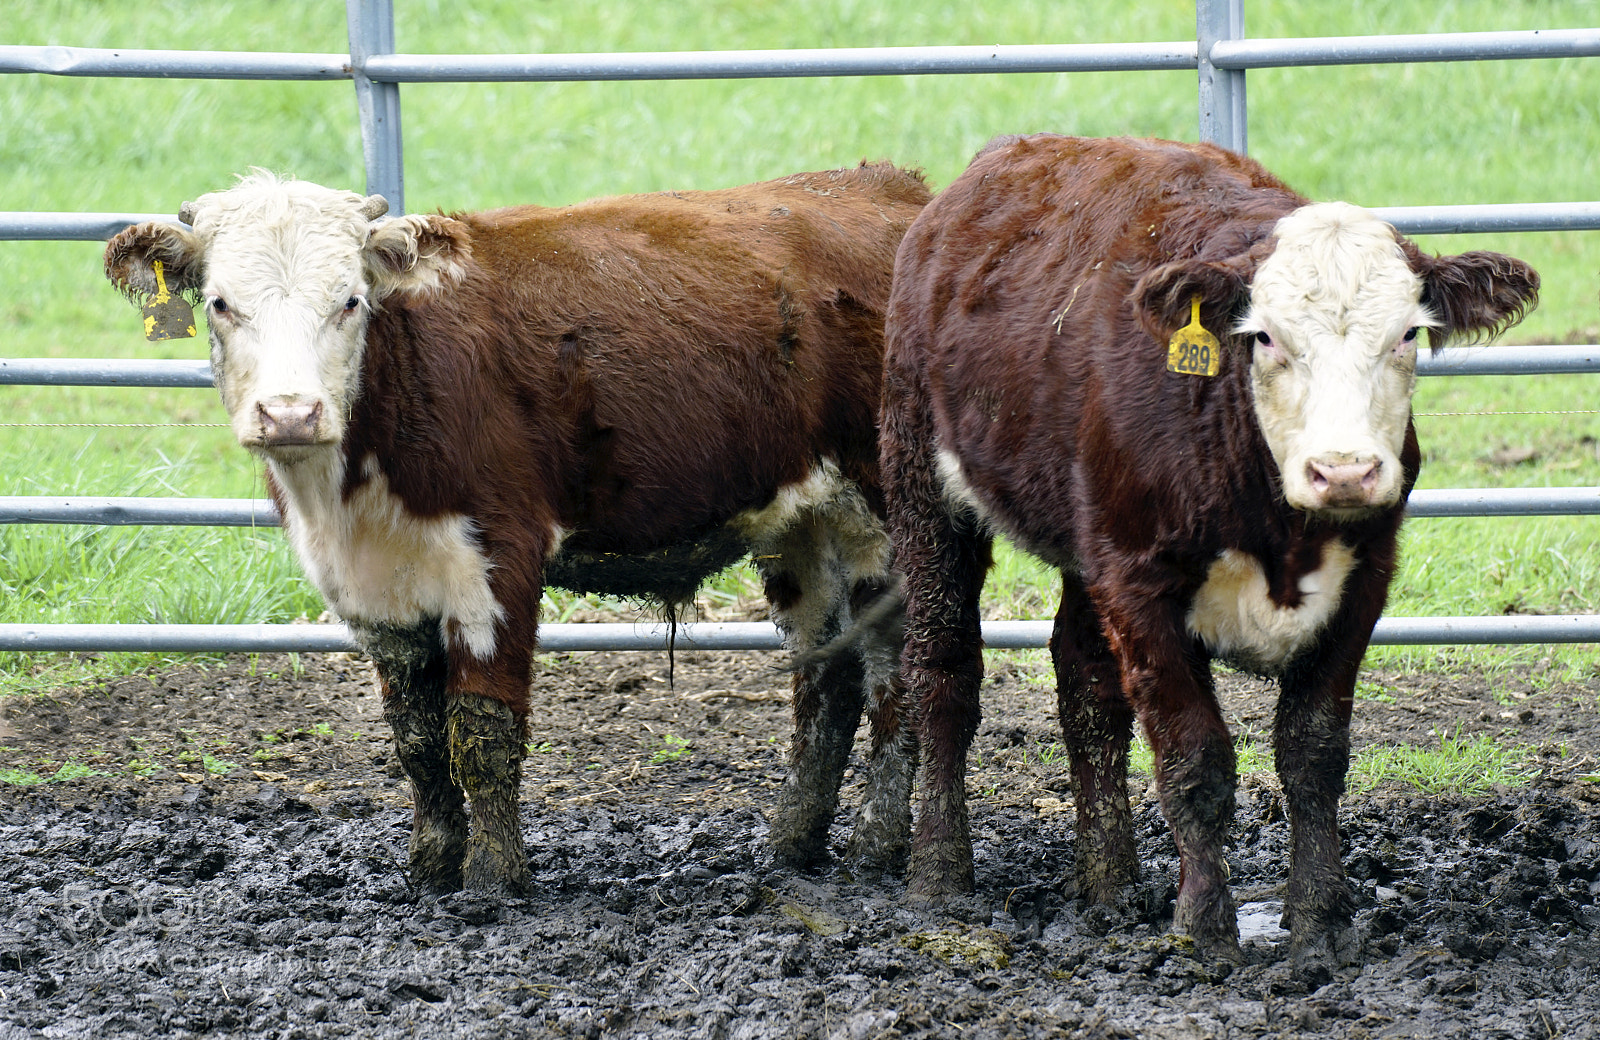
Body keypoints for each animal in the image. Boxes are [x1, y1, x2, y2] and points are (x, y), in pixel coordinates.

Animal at [104, 163, 931, 895]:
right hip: (803, 521)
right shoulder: (375, 593)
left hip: (885, 515)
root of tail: (890, 188)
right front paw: (429, 869)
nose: (289, 414)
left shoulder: (497, 561)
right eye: (220, 303)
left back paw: (876, 846)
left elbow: (482, 732)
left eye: (349, 300)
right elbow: (416, 739)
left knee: (896, 674)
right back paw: (794, 842)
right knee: (827, 671)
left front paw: (495, 880)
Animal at [879, 135, 1538, 961]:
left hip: (1084, 542)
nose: (1344, 470)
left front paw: (1320, 920)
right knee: (944, 671)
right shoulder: (1140, 585)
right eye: (1266, 337)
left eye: (1408, 334)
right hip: (924, 490)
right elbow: (1196, 758)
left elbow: (1313, 753)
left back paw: (1111, 885)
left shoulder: (1364, 583)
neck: (1280, 529)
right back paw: (939, 874)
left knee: (1085, 682)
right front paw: (1204, 929)